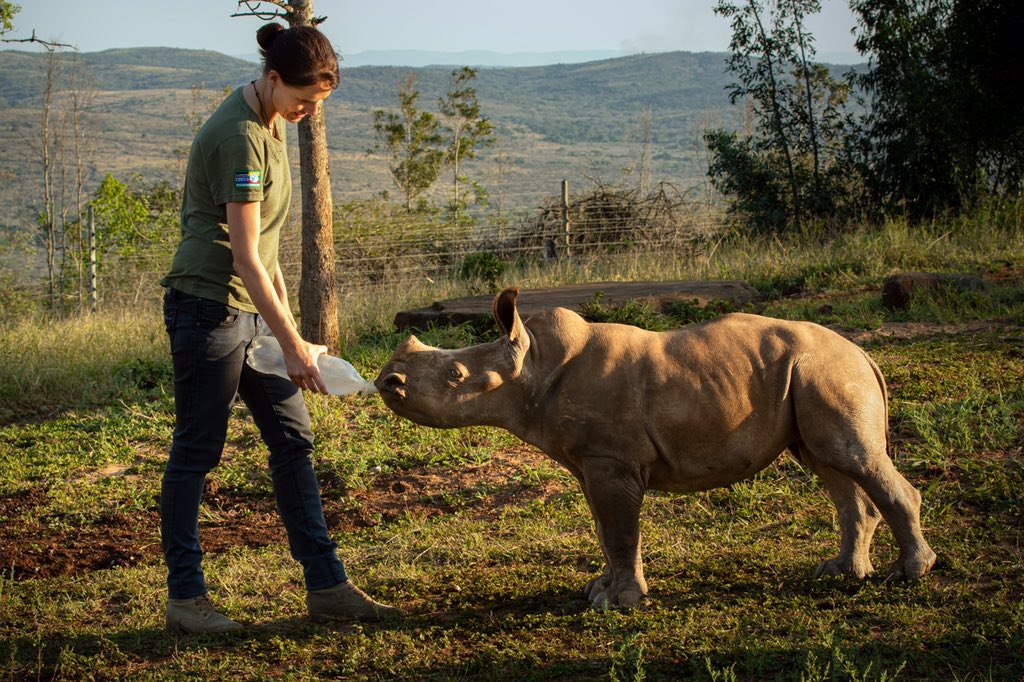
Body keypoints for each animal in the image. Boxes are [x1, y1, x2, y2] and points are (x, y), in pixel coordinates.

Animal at [375, 287, 936, 608]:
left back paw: (909, 575)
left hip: (828, 371)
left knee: (853, 458)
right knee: (831, 464)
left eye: (455, 375)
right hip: (812, 375)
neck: (531, 367)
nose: (388, 381)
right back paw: (838, 574)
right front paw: (597, 591)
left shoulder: (612, 459)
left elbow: (620, 530)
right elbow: (605, 530)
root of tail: (862, 351)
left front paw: (619, 604)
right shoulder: (592, 461)